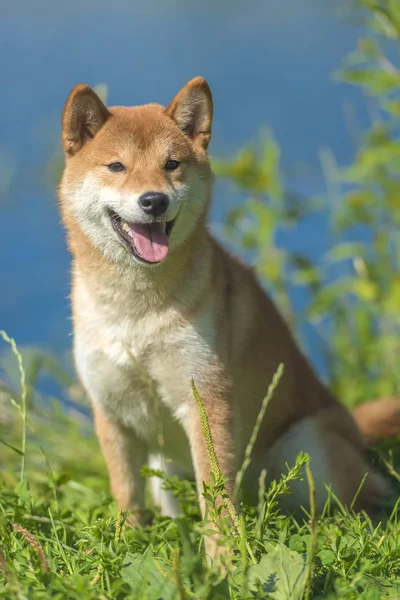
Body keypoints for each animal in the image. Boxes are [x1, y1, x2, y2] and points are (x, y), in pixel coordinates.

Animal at [59, 77, 400, 560]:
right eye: (116, 166)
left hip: (307, 452)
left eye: (172, 164)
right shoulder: (111, 410)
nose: (153, 200)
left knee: (368, 496)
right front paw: (126, 546)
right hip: (169, 465)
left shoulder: (205, 399)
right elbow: (127, 495)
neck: (135, 312)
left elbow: (217, 498)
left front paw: (223, 562)